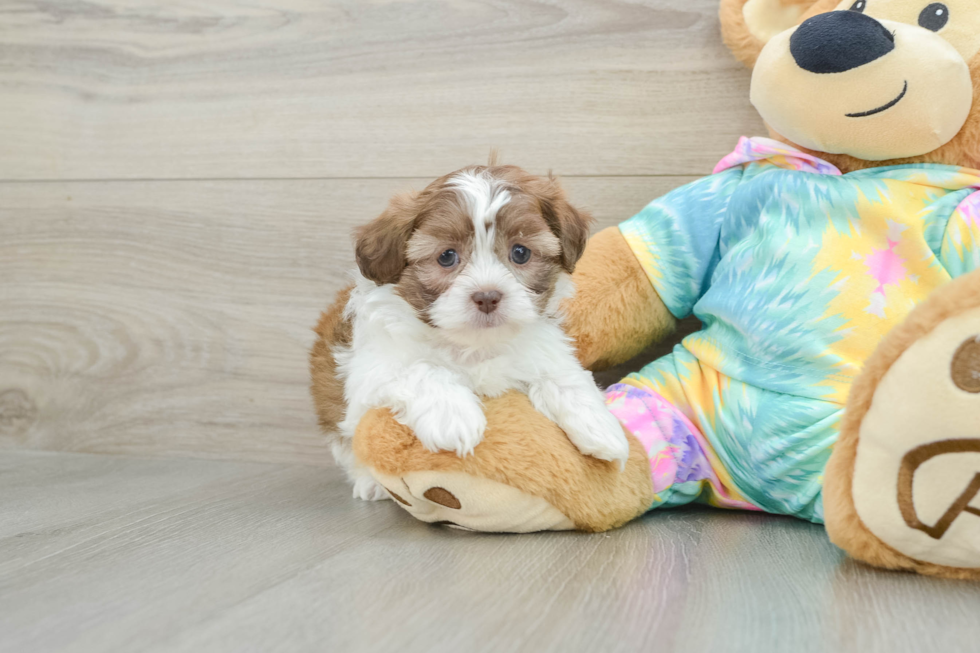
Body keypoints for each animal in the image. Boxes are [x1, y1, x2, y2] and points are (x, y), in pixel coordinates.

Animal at [334, 164, 632, 500]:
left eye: (520, 253)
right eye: (446, 257)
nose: (487, 296)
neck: (475, 345)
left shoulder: (543, 347)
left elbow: (563, 374)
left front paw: (600, 426)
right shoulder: (371, 370)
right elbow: (421, 368)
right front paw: (452, 416)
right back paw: (371, 482)